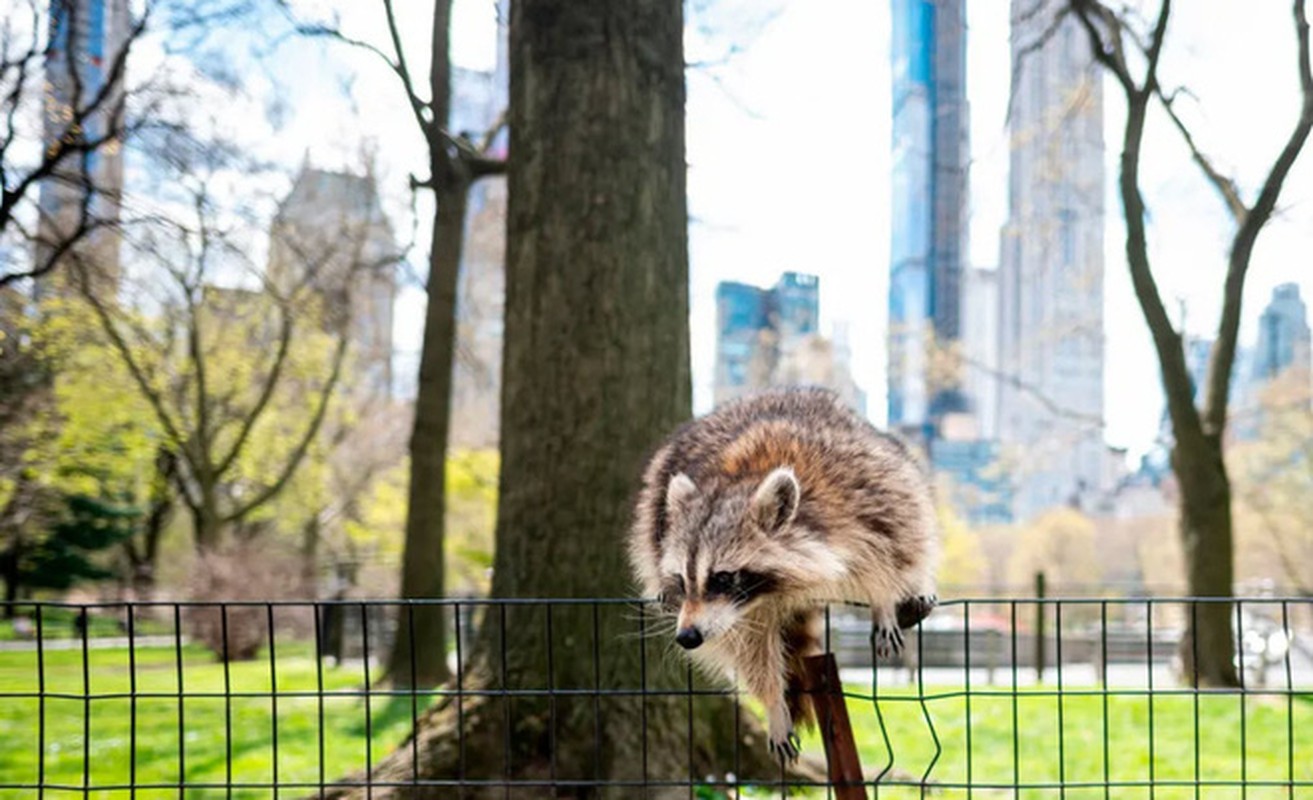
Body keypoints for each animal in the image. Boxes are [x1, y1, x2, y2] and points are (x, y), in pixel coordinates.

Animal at [624, 386, 934, 761]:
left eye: (722, 577)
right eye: (683, 580)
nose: (687, 637)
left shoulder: (862, 491)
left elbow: (893, 542)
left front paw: (883, 599)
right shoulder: (740, 614)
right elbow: (751, 651)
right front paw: (773, 702)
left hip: (888, 458)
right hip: (654, 505)